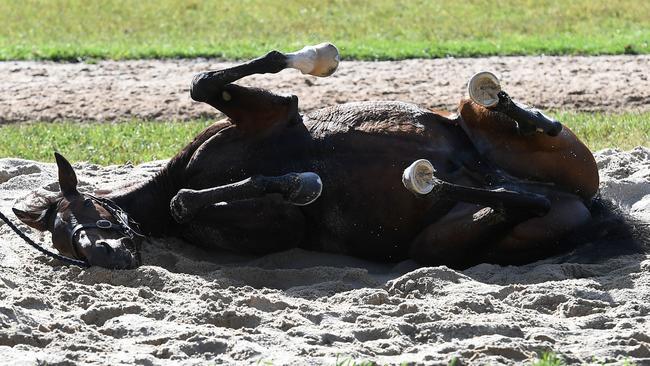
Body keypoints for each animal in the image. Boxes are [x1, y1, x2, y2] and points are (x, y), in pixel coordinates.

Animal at [12, 44, 604, 270]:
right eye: (65, 242)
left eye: (82, 214)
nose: (107, 256)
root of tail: (592, 207)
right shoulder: (277, 226)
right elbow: (193, 200)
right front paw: (302, 182)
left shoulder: (269, 116)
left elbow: (206, 82)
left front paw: (318, 59)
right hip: (445, 241)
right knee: (516, 201)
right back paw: (430, 180)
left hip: (498, 132)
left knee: (505, 124)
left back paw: (497, 100)